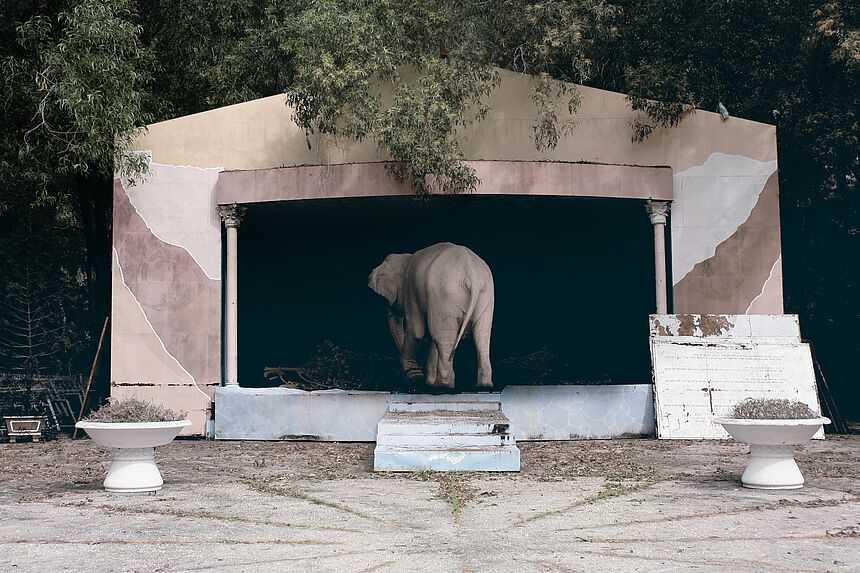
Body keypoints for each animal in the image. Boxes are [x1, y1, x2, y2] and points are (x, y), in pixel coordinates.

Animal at [366, 241, 494, 388]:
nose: (414, 372)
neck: (406, 258)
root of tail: (473, 275)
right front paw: (426, 381)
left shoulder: (412, 290)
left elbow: (416, 331)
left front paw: (415, 378)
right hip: (486, 295)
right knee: (481, 337)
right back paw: (484, 385)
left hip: (446, 293)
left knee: (443, 338)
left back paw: (443, 385)